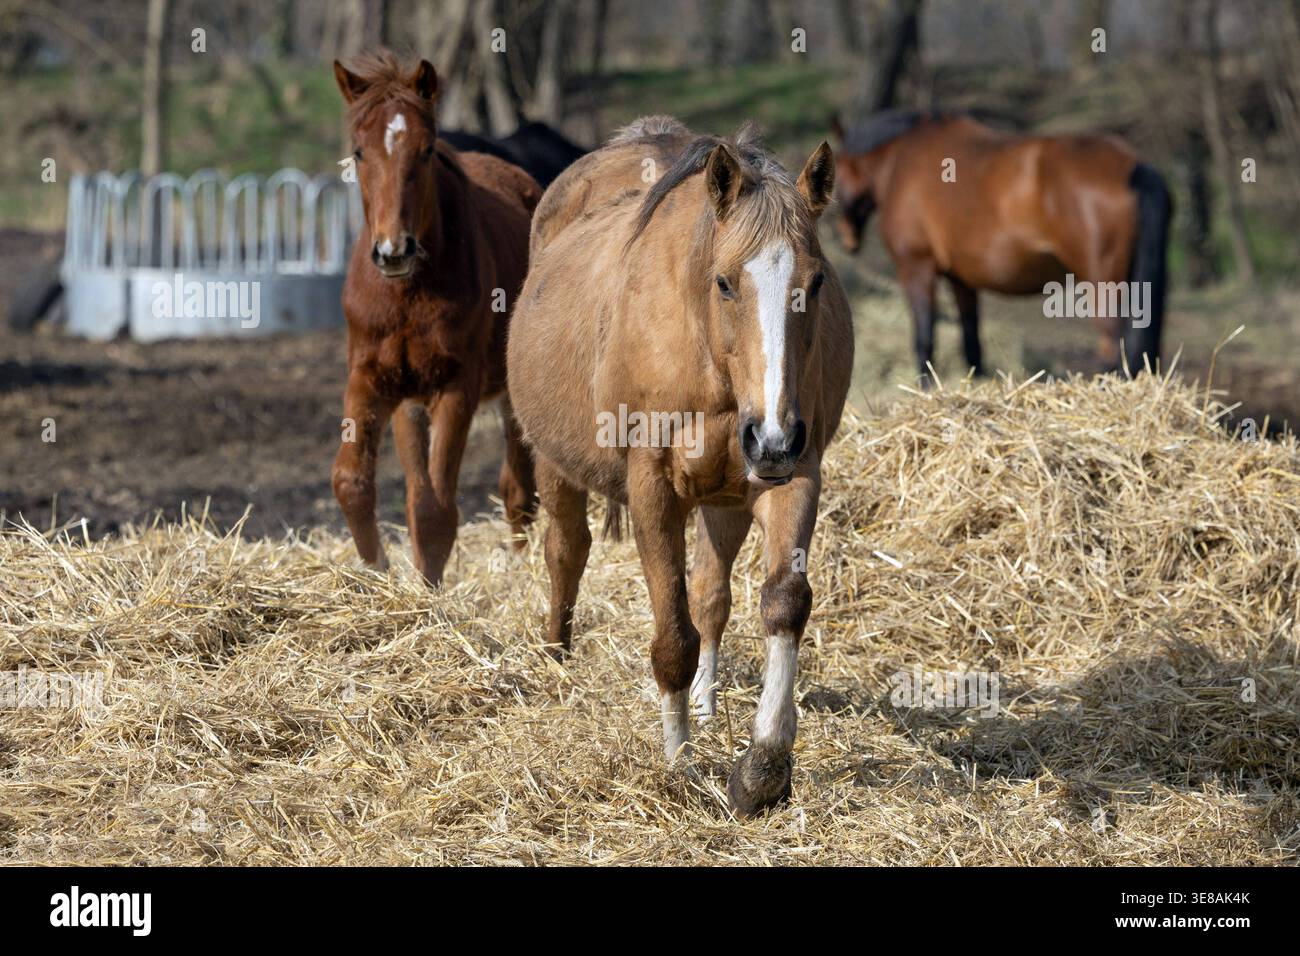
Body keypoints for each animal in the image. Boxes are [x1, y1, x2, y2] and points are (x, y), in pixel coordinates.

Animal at [331, 51, 540, 586]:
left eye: (426, 151)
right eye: (358, 153)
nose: (393, 250)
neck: (406, 292)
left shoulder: (456, 385)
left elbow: (436, 508)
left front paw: (427, 590)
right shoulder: (372, 378)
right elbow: (355, 482)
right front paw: (377, 571)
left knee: (518, 485)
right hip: (410, 402)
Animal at [508, 117, 854, 817]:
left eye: (815, 282)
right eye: (724, 282)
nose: (771, 437)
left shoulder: (794, 474)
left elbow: (782, 602)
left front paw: (763, 768)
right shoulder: (653, 489)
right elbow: (673, 635)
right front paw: (680, 765)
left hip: (727, 497)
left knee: (712, 594)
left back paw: (708, 702)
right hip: (554, 463)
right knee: (566, 551)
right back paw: (557, 657)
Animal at [830, 111, 1171, 382]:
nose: (846, 238)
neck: (900, 159)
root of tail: (1133, 166)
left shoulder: (917, 267)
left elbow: (924, 340)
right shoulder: (961, 280)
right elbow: (972, 345)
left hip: (1104, 284)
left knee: (1112, 346)